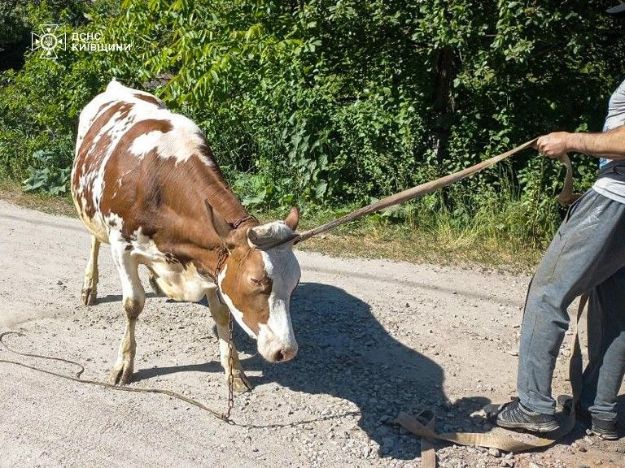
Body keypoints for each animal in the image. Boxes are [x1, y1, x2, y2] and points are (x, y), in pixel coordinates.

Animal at [70, 79, 300, 392]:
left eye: (294, 284)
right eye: (256, 281)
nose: (286, 351)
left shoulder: (212, 259)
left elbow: (223, 314)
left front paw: (234, 371)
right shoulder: (122, 247)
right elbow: (132, 305)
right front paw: (124, 364)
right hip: (90, 207)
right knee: (94, 241)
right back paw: (89, 288)